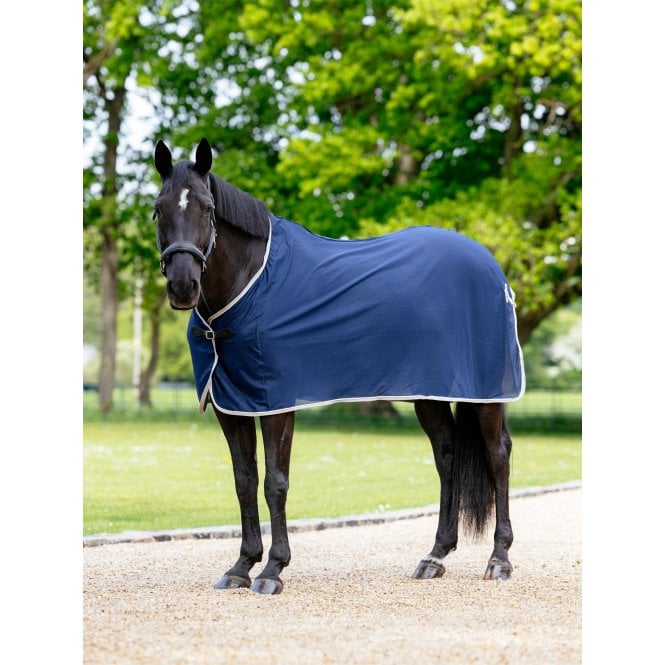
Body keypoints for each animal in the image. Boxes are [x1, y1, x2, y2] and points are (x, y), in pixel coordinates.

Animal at [153, 138, 525, 595]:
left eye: (207, 208)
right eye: (158, 209)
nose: (183, 285)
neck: (250, 283)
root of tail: (491, 266)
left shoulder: (276, 403)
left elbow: (275, 483)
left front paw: (272, 570)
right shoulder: (232, 405)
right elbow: (244, 481)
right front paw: (241, 567)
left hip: (485, 393)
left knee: (498, 455)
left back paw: (499, 559)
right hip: (430, 394)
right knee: (448, 457)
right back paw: (435, 556)